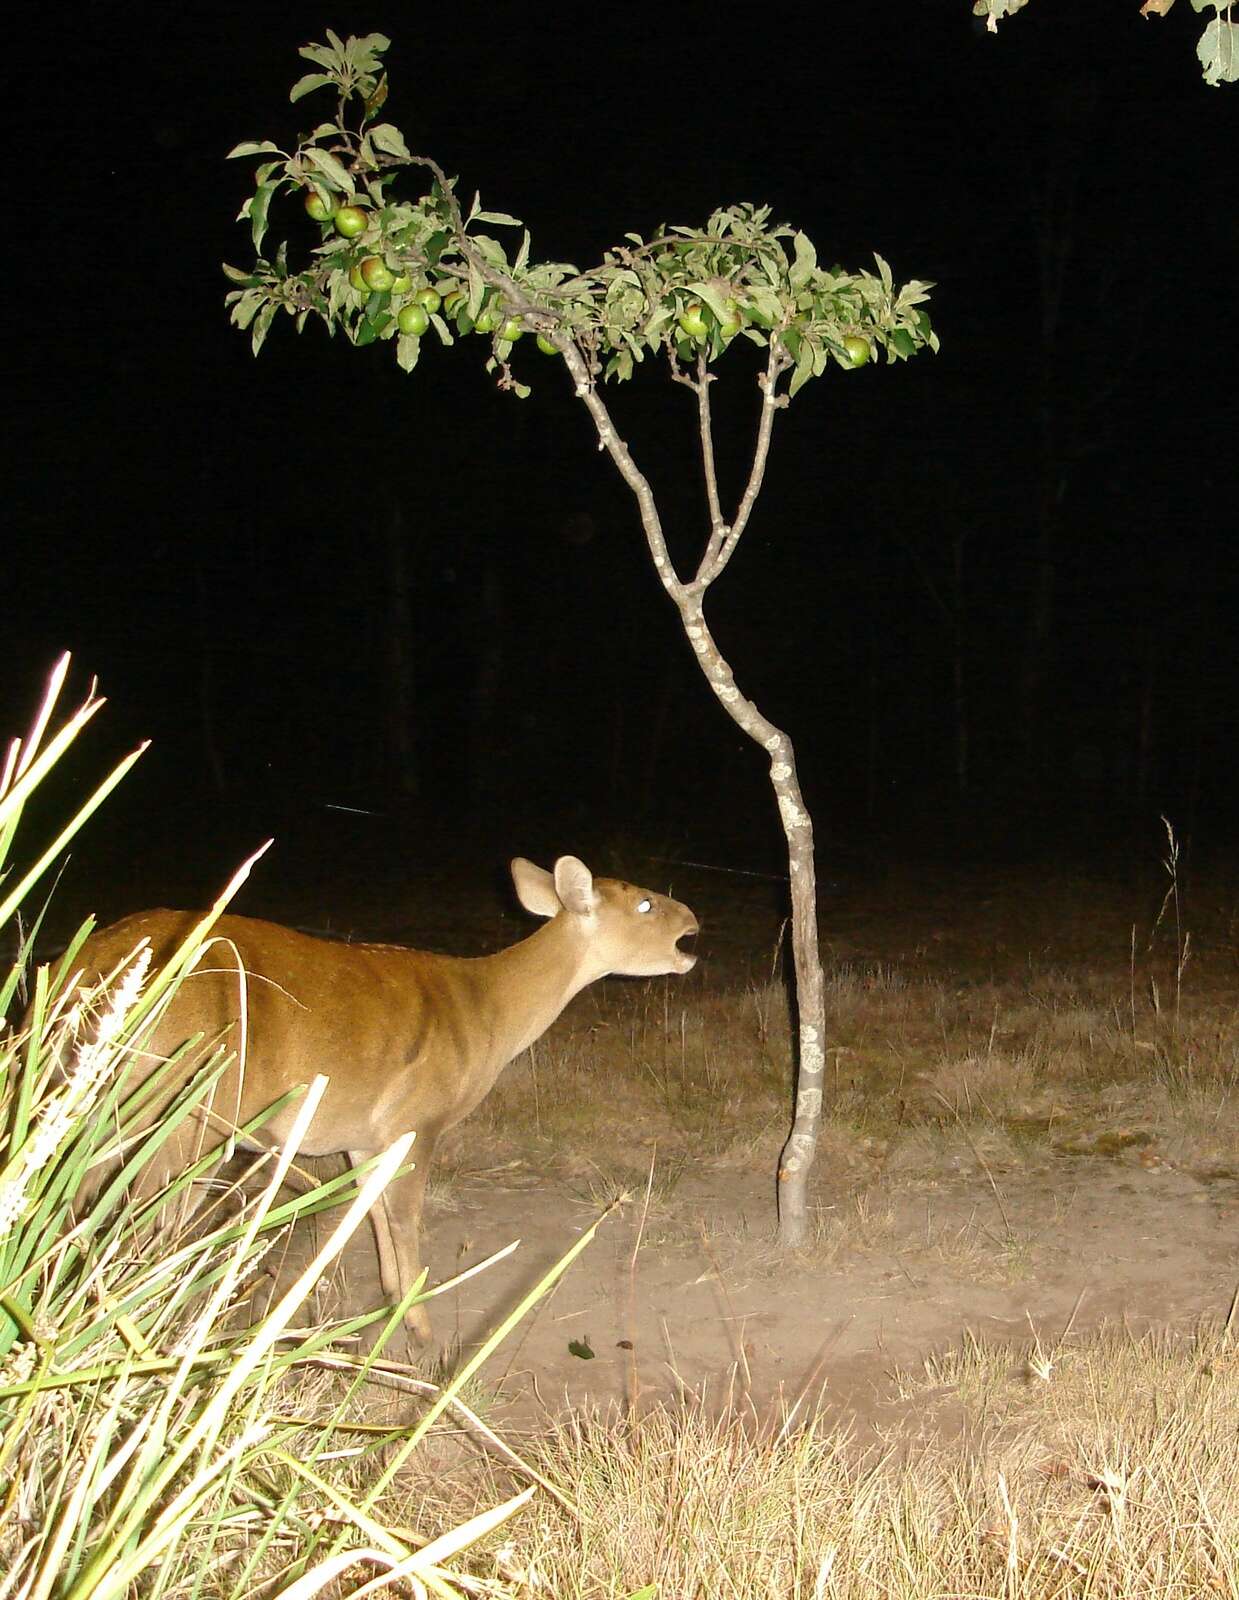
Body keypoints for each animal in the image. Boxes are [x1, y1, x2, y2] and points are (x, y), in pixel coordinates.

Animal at [64, 855, 698, 1345]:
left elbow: (369, 1212)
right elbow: (404, 1218)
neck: (489, 1015)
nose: (693, 920)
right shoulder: (419, 1119)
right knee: (134, 1232)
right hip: (179, 1114)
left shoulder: (361, 1134)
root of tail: (87, 970)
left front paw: (387, 1306)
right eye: (645, 904)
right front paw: (420, 1327)